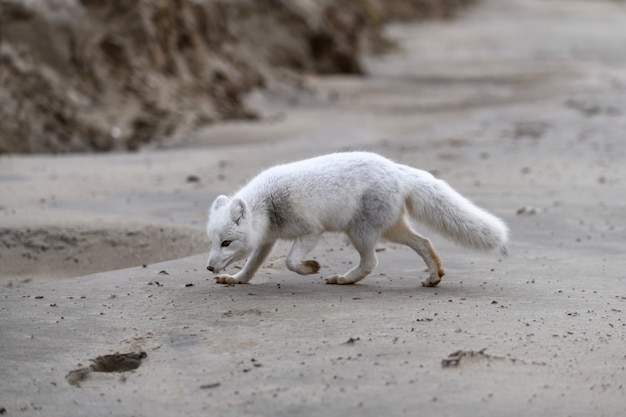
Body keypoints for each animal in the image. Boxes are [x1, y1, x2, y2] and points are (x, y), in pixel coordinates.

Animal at [205, 152, 508, 286]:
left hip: (360, 233)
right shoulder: (267, 240)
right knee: (423, 242)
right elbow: (252, 266)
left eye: (226, 243)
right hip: (391, 230)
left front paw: (311, 267)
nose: (208, 267)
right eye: (212, 242)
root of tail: (396, 169)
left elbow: (290, 262)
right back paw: (434, 276)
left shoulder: (311, 231)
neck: (268, 205)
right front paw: (236, 279)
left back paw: (344, 279)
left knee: (371, 262)